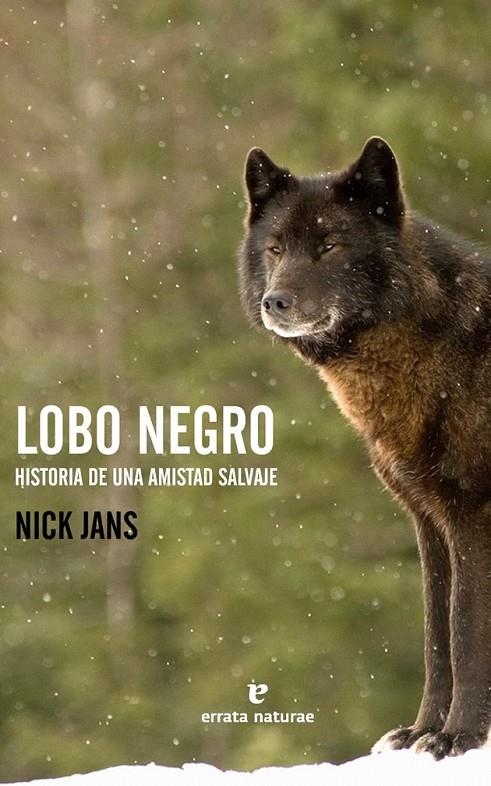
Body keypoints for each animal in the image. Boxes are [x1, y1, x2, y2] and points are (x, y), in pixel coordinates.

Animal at [239, 137, 491, 759]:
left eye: (330, 245)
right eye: (276, 248)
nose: (275, 302)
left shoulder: (471, 514)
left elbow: (464, 630)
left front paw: (461, 737)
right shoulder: (429, 522)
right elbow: (436, 636)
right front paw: (423, 731)